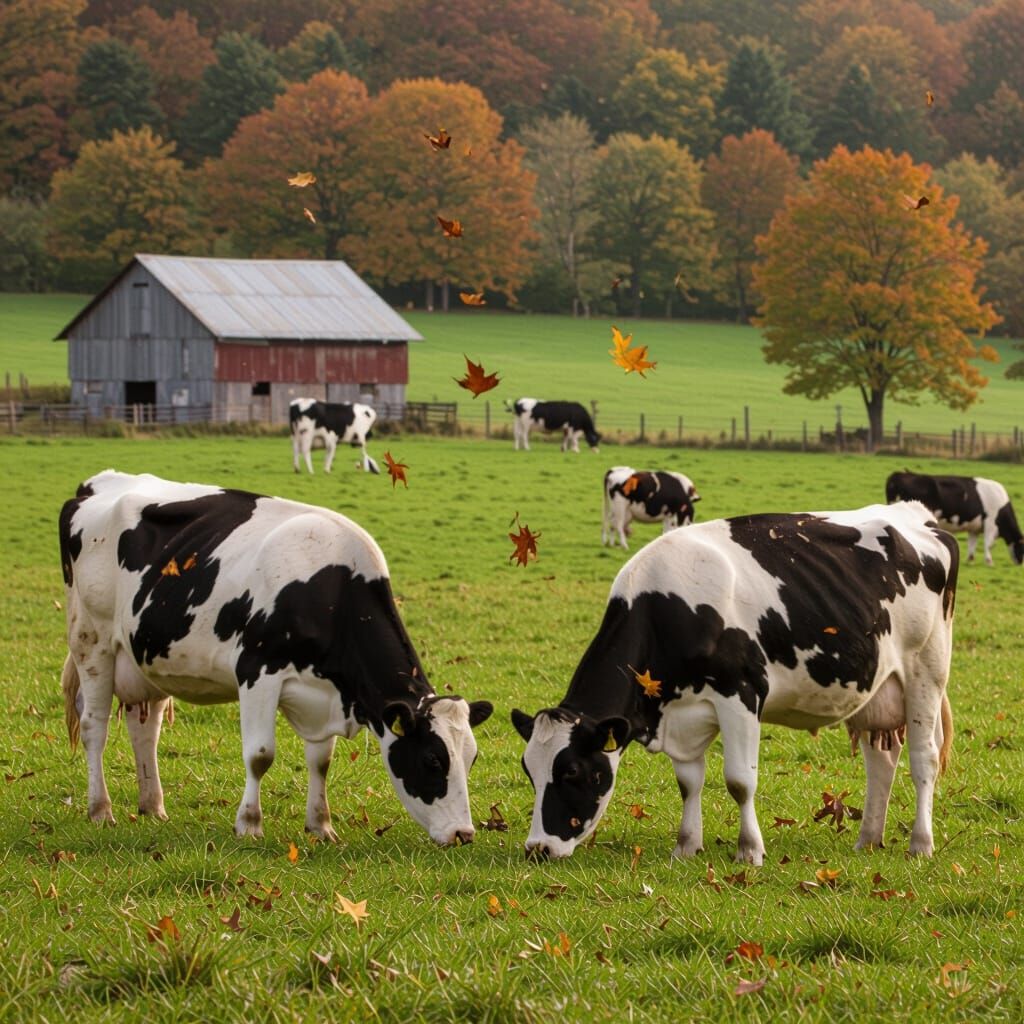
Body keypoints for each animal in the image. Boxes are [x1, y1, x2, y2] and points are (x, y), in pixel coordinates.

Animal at [59, 470, 493, 846]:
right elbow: (260, 755)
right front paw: (249, 824)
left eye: (470, 759)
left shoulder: (322, 691)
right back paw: (101, 809)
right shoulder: (257, 672)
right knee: (94, 725)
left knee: (145, 731)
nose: (463, 834)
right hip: (92, 640)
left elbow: (321, 760)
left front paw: (321, 825)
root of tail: (99, 483)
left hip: (146, 656)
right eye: (433, 760)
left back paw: (153, 806)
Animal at [512, 501, 958, 864]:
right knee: (881, 759)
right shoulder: (682, 710)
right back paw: (868, 839)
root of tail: (915, 514)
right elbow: (688, 782)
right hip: (876, 688)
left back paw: (921, 843)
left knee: (923, 758)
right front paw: (686, 845)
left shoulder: (740, 695)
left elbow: (740, 781)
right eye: (529, 770)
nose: (538, 848)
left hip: (927, 669)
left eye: (571, 771)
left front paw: (750, 850)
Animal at [885, 471, 1024, 567]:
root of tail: (899, 474)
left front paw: (970, 560)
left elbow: (972, 543)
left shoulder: (974, 528)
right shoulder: (990, 523)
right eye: (1022, 547)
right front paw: (989, 562)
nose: (1020, 563)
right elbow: (988, 544)